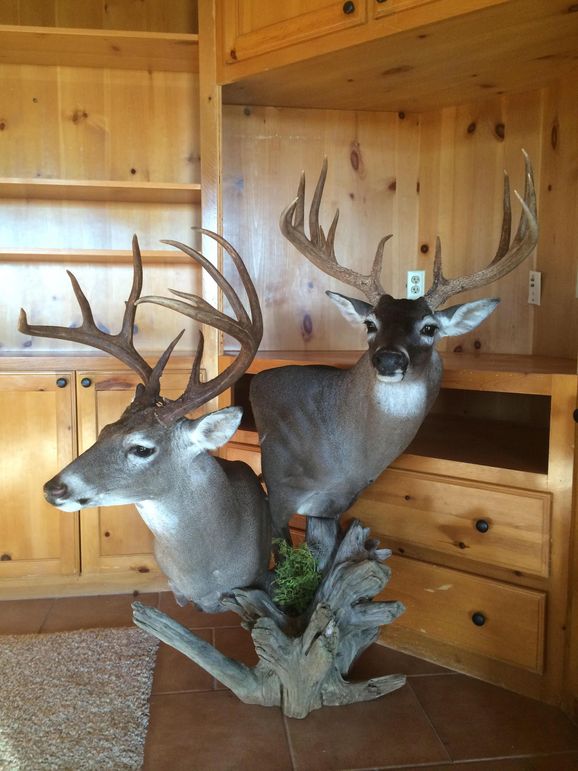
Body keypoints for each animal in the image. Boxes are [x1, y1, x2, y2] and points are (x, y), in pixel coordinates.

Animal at [250, 153, 538, 560]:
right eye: (370, 323)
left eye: (430, 328)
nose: (388, 360)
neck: (345, 456)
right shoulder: (277, 489)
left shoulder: (333, 505)